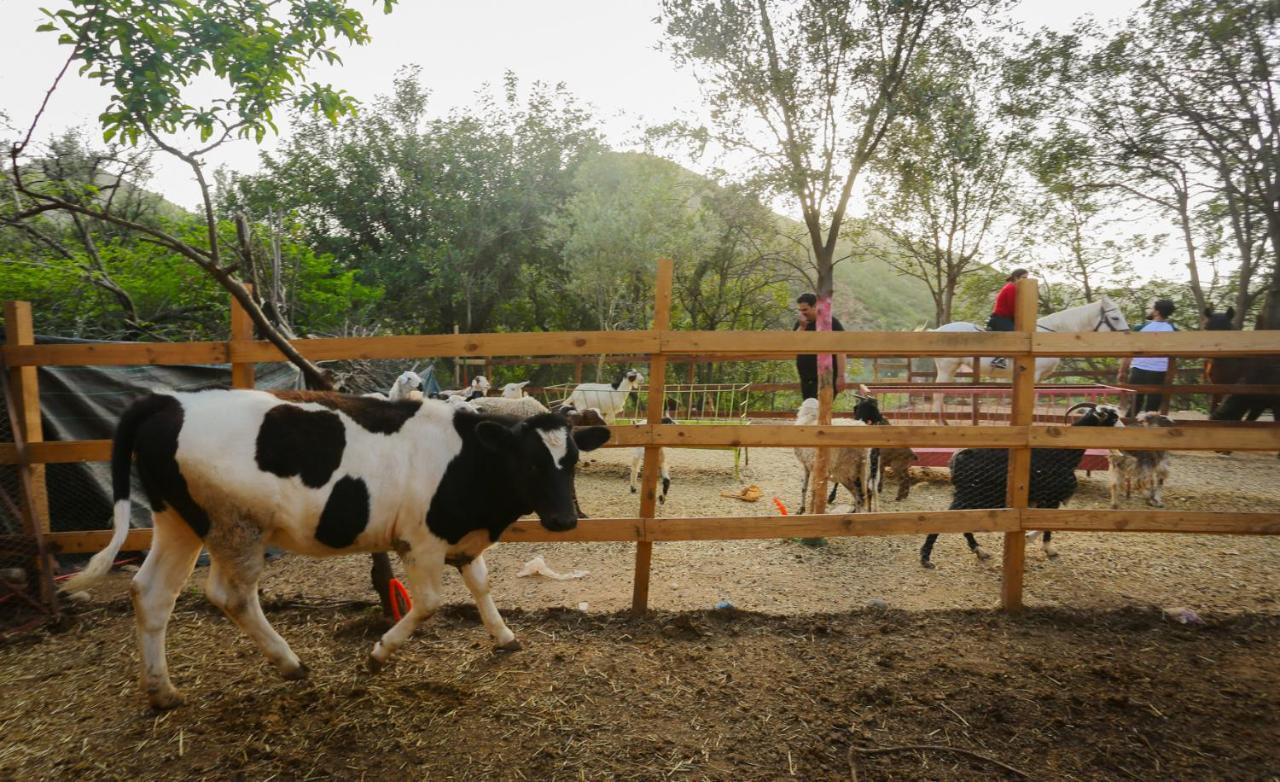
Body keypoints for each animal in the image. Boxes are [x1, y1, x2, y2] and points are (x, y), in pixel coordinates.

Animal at [62, 389, 611, 711]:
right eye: (530, 463)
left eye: (571, 461)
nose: (564, 520)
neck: (468, 459)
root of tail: (170, 401)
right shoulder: (421, 541)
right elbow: (429, 604)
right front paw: (378, 654)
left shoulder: (458, 537)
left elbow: (481, 584)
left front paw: (503, 636)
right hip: (235, 528)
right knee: (230, 595)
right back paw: (289, 663)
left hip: (177, 522)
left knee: (151, 593)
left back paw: (162, 691)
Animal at [921, 404, 1121, 568]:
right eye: (1113, 418)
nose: (1123, 430)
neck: (1063, 454)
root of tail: (958, 457)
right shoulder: (1051, 497)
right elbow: (1045, 525)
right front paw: (1044, 547)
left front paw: (1032, 540)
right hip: (971, 493)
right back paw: (927, 557)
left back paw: (979, 551)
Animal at [931, 296, 1131, 424]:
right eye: (1115, 317)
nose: (1128, 334)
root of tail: (937, 330)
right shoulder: (1034, 375)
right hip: (947, 369)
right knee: (938, 394)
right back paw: (941, 422)